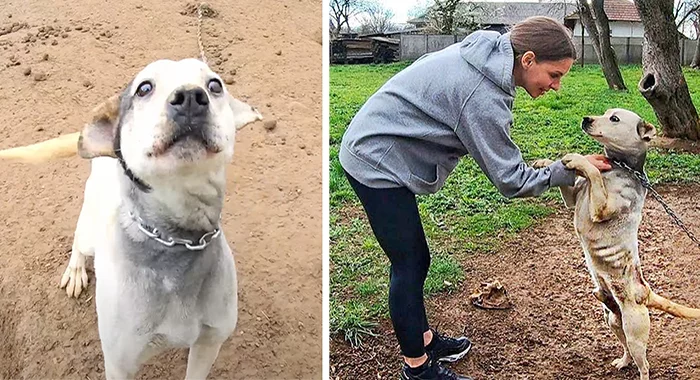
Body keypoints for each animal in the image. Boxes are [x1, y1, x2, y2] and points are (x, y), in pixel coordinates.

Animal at [532, 107, 700, 380]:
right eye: (605, 113)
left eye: (614, 119)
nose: (586, 119)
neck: (618, 168)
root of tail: (645, 292)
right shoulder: (572, 199)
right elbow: (570, 181)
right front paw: (545, 163)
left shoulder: (601, 207)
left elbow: (590, 170)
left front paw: (578, 160)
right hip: (612, 321)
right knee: (627, 351)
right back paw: (622, 362)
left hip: (635, 332)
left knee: (644, 364)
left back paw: (641, 372)